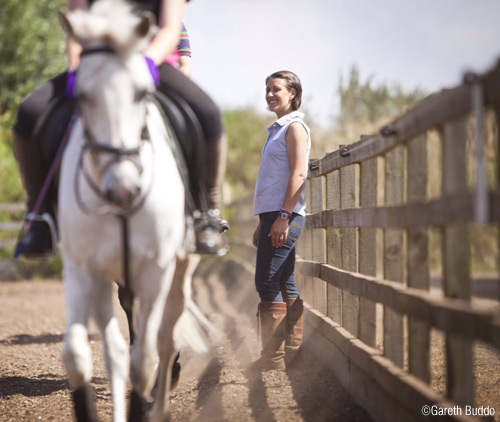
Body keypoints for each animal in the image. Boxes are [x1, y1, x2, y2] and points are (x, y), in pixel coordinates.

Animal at [58, 1, 209, 420]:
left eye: (142, 93)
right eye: (81, 96)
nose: (123, 189)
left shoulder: (155, 269)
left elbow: (145, 360)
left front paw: (152, 399)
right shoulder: (84, 268)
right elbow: (81, 355)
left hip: (180, 271)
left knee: (166, 338)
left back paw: (162, 399)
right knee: (120, 345)